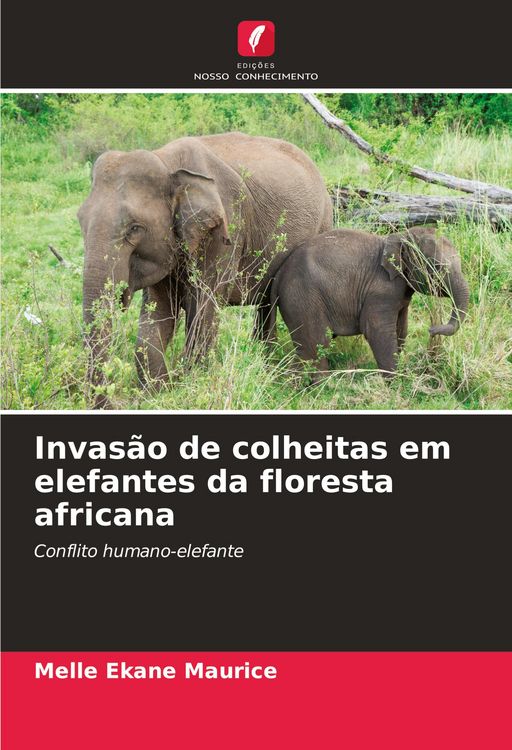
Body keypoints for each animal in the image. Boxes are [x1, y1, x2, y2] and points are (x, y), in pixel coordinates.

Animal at [78, 132, 333, 406]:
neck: (167, 162)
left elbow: (203, 307)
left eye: (134, 228)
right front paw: (156, 393)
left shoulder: (225, 228)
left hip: (323, 221)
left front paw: (188, 386)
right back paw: (265, 358)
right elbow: (158, 311)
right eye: (80, 221)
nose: (110, 402)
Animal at [256, 226, 469, 379]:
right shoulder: (379, 292)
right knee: (316, 342)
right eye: (437, 267)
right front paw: (396, 382)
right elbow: (378, 331)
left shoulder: (400, 294)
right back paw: (324, 386)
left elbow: (401, 329)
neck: (399, 236)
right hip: (302, 298)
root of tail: (279, 274)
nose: (431, 330)